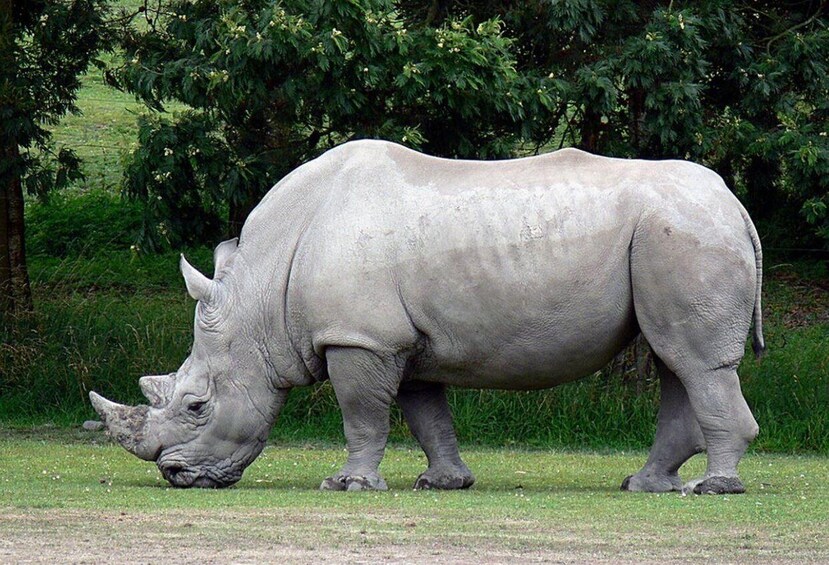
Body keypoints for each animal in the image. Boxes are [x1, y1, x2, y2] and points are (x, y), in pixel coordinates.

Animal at [91, 139, 764, 494]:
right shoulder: (401, 341)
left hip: (685, 235)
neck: (261, 295)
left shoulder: (360, 337)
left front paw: (348, 486)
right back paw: (645, 486)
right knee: (676, 360)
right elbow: (425, 414)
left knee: (694, 362)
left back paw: (712, 490)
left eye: (197, 405)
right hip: (676, 235)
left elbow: (362, 414)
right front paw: (444, 483)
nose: (176, 476)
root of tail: (735, 204)